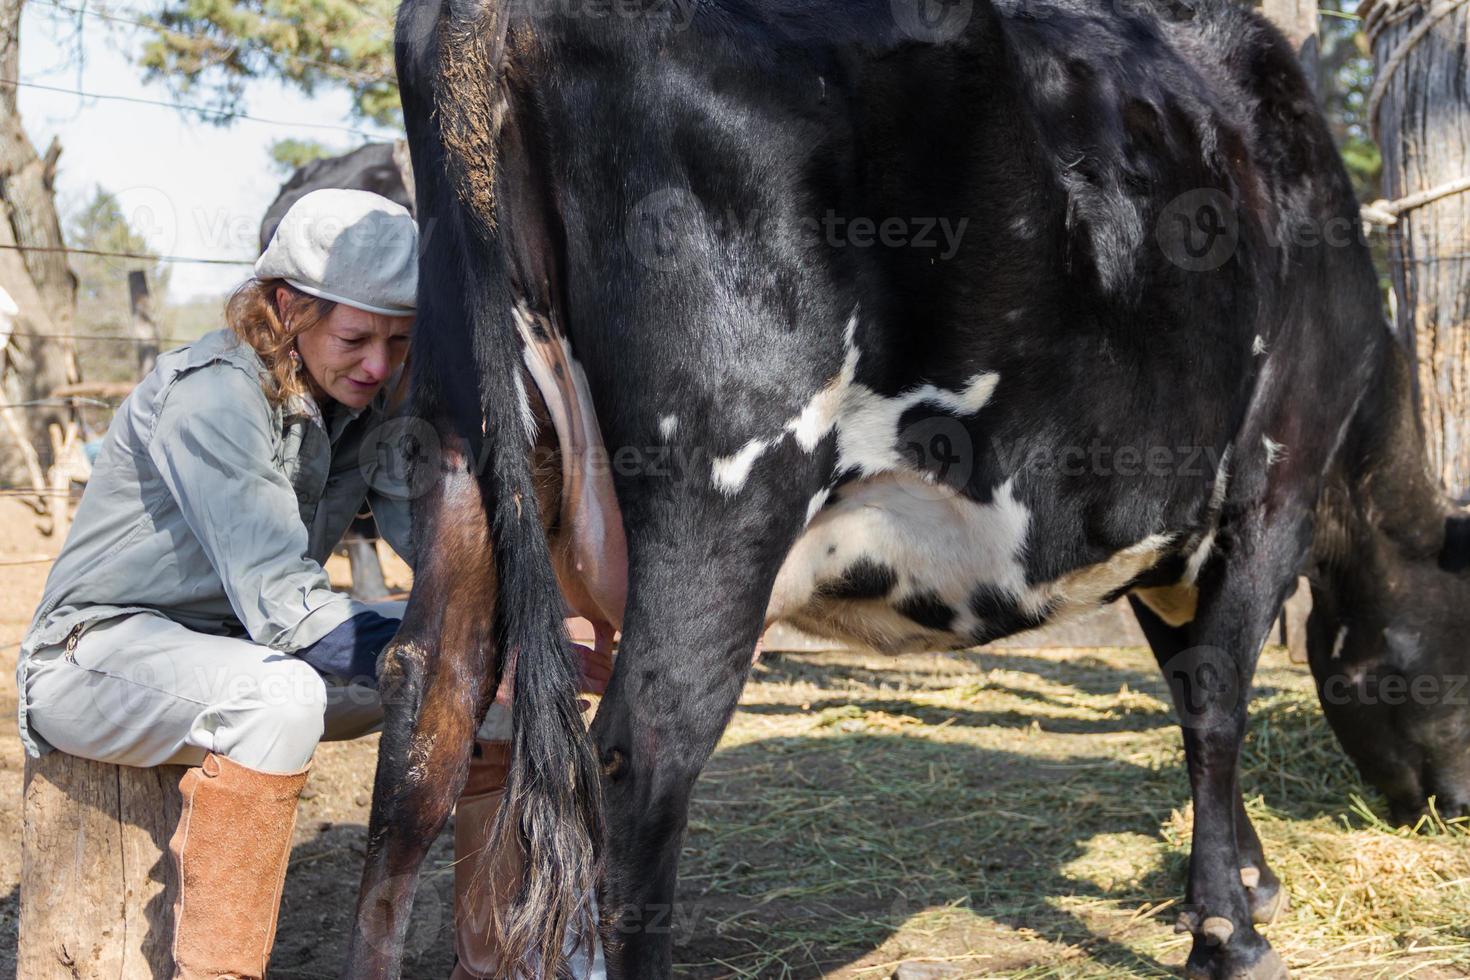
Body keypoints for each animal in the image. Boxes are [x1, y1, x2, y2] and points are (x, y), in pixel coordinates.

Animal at [346, 1, 1470, 980]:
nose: (1455, 805)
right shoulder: (1274, 484)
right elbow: (1217, 700)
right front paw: (1230, 932)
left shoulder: (1164, 532)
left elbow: (1186, 678)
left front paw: (1249, 876)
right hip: (728, 492)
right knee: (643, 749)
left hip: (464, 452)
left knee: (425, 720)